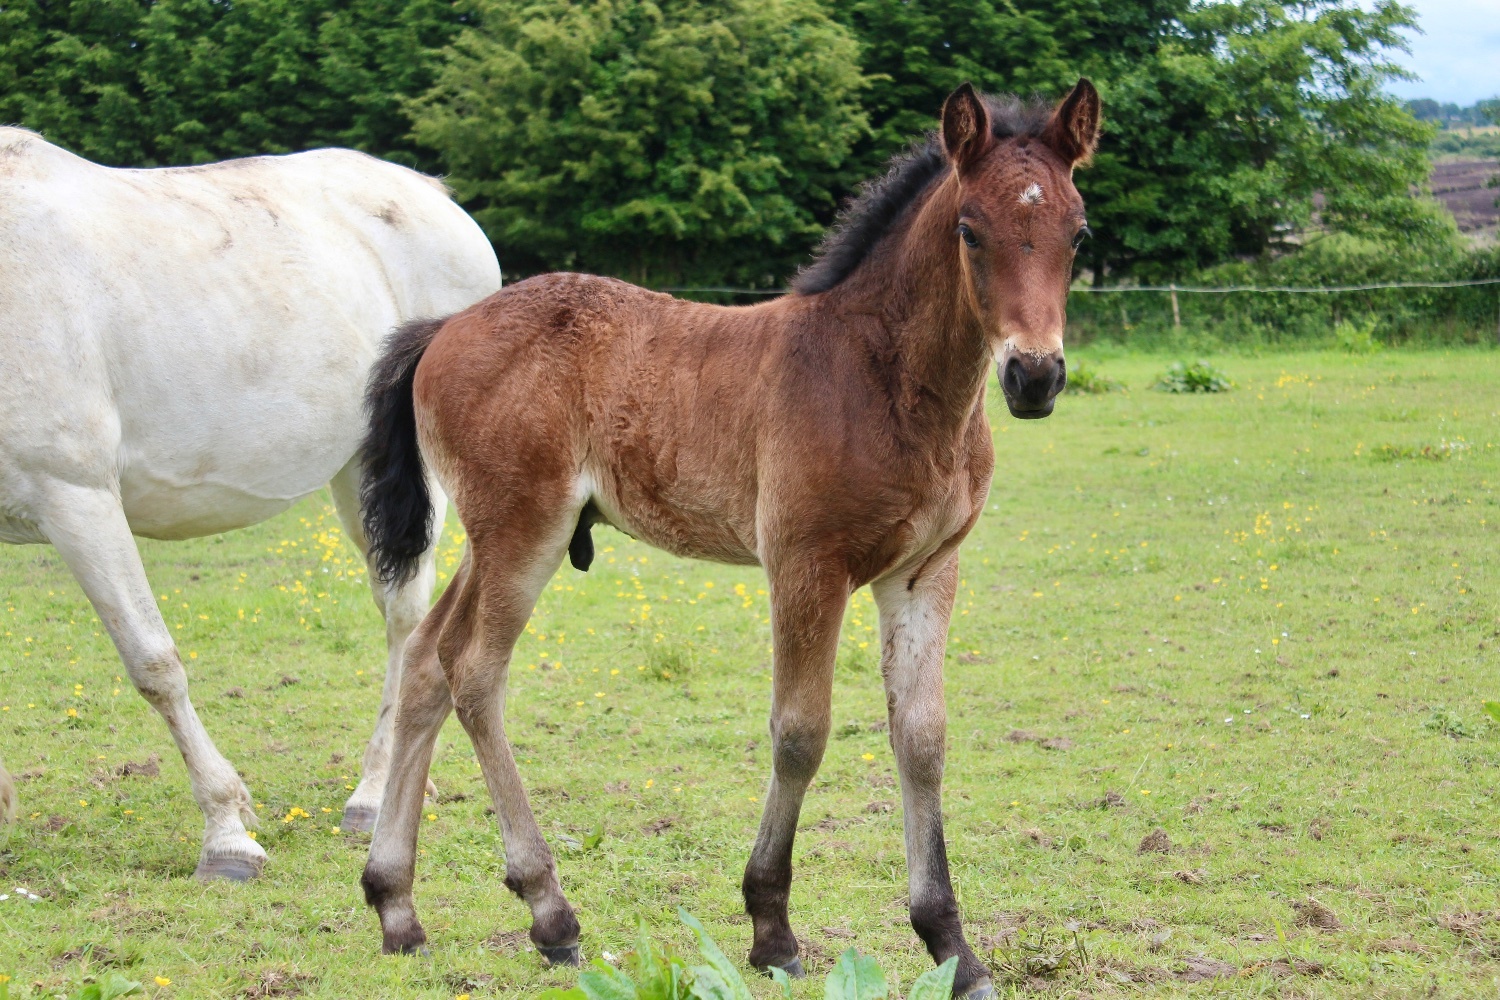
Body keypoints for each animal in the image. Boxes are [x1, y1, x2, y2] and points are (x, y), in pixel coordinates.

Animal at [0, 128, 500, 879]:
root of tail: (430, 195)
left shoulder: (75, 498)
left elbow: (154, 664)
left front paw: (227, 835)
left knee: (405, 615)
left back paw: (372, 796)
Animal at [357, 80, 1098, 996]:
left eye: (1078, 232)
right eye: (970, 228)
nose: (1035, 376)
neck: (882, 375)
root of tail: (445, 328)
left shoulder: (927, 571)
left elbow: (922, 738)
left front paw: (952, 946)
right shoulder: (806, 564)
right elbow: (801, 732)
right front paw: (771, 929)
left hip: (494, 536)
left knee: (427, 660)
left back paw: (396, 905)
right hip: (522, 531)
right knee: (475, 673)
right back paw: (550, 912)